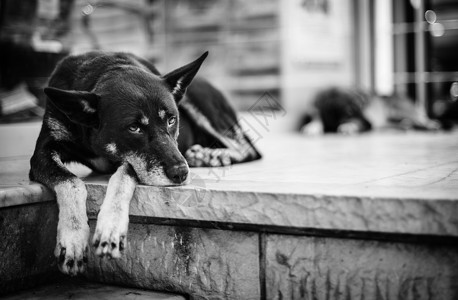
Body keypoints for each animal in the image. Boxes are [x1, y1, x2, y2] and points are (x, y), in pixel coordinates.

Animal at [29, 50, 262, 276]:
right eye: (134, 128)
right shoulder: (42, 153)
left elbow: (122, 178)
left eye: (171, 120)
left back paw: (213, 155)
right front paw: (73, 239)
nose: (181, 173)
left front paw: (110, 226)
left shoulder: (131, 161)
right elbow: (72, 183)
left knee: (249, 149)